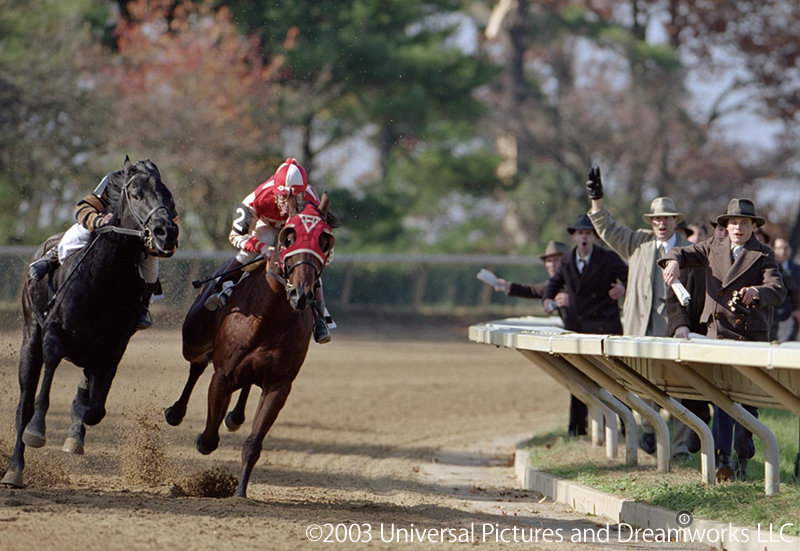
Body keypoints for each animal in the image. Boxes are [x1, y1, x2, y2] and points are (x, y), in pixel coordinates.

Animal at [1, 157, 180, 488]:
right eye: (136, 194)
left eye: (169, 197)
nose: (166, 232)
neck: (103, 283)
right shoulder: (53, 334)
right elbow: (43, 388)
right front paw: (37, 431)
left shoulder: (113, 348)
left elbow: (94, 409)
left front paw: (75, 431)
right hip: (30, 335)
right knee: (24, 402)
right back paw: (14, 469)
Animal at [164, 193, 335, 498]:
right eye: (289, 236)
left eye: (324, 240)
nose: (301, 294)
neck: (269, 318)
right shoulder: (222, 375)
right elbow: (209, 438)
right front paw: (202, 440)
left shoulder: (279, 385)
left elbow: (254, 442)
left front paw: (240, 492)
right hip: (193, 339)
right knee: (197, 365)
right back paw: (176, 412)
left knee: (243, 386)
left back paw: (235, 416)